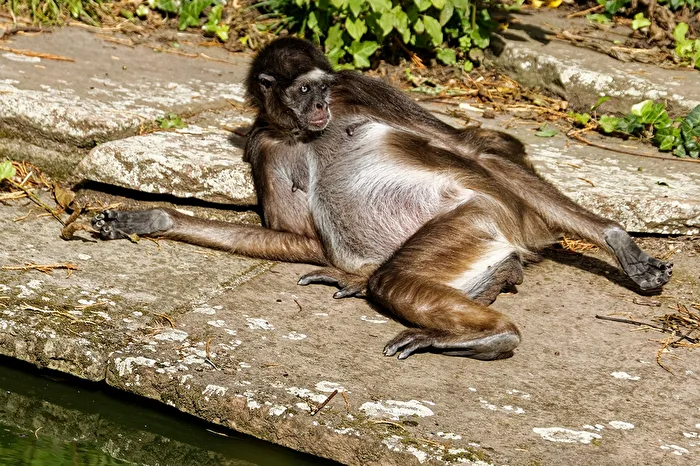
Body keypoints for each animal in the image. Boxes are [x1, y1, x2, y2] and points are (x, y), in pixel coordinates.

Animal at [93, 38, 672, 361]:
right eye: (302, 90)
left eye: (322, 86)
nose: (321, 104)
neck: (302, 132)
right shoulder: (265, 143)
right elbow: (298, 237)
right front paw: (153, 218)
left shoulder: (358, 87)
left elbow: (467, 145)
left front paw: (620, 242)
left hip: (475, 214)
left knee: (395, 276)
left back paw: (495, 334)